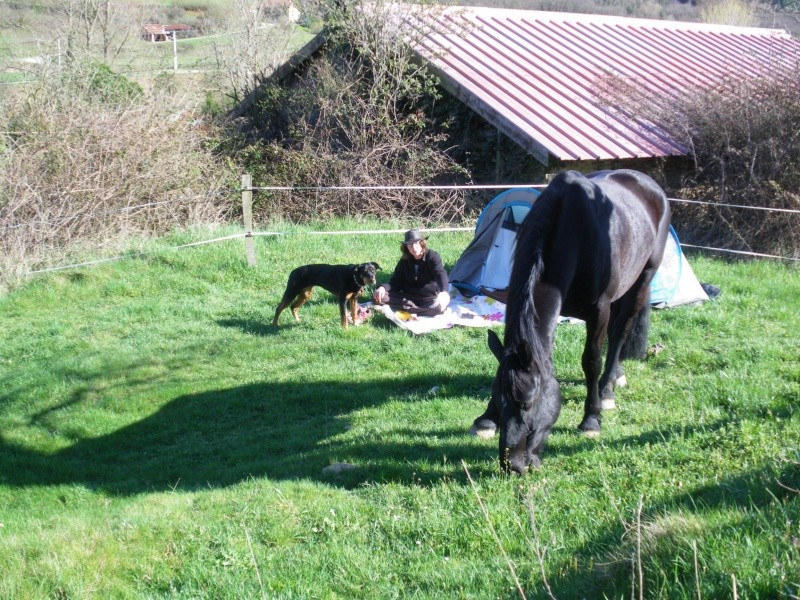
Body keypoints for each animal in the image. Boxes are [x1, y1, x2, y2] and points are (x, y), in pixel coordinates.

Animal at [472, 169, 672, 474]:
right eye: (498, 398)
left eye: (529, 404)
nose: (512, 465)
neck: (572, 233)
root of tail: (646, 182)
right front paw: (486, 420)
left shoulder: (599, 310)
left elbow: (591, 361)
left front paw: (591, 419)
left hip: (641, 281)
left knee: (619, 335)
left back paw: (607, 389)